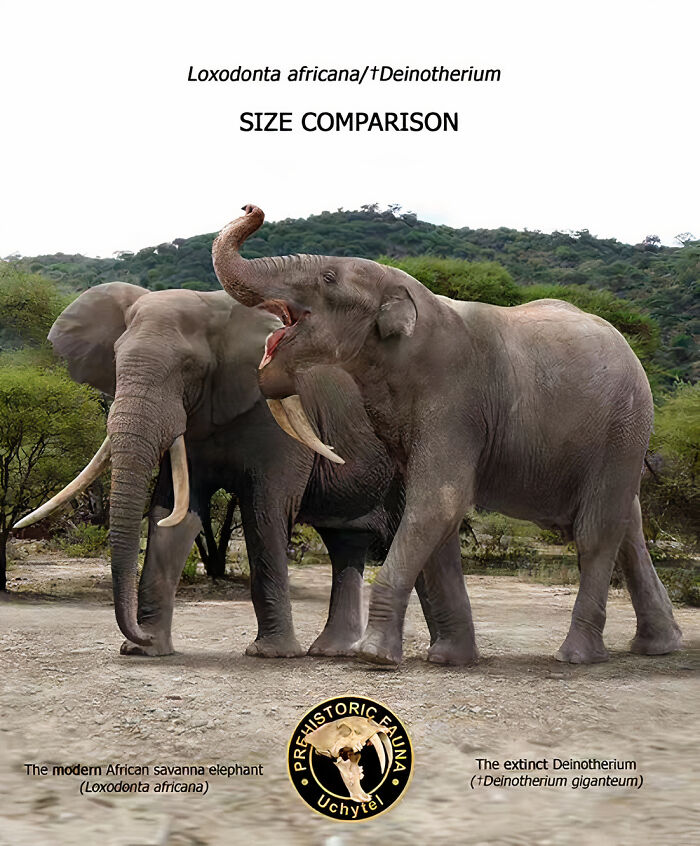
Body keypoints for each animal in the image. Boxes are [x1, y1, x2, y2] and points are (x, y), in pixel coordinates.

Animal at [16, 282, 474, 663]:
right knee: (346, 542)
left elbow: (266, 511)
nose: (136, 636)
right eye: (115, 362)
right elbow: (175, 516)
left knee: (420, 531)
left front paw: (271, 655)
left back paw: (444, 659)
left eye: (188, 368)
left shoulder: (278, 415)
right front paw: (146, 650)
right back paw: (332, 652)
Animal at [211, 204, 684, 667]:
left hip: (624, 424)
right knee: (628, 524)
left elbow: (437, 501)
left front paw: (373, 658)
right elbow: (436, 515)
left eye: (327, 278)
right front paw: (448, 659)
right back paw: (659, 646)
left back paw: (576, 657)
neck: (406, 291)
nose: (251, 207)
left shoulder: (456, 399)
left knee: (596, 533)